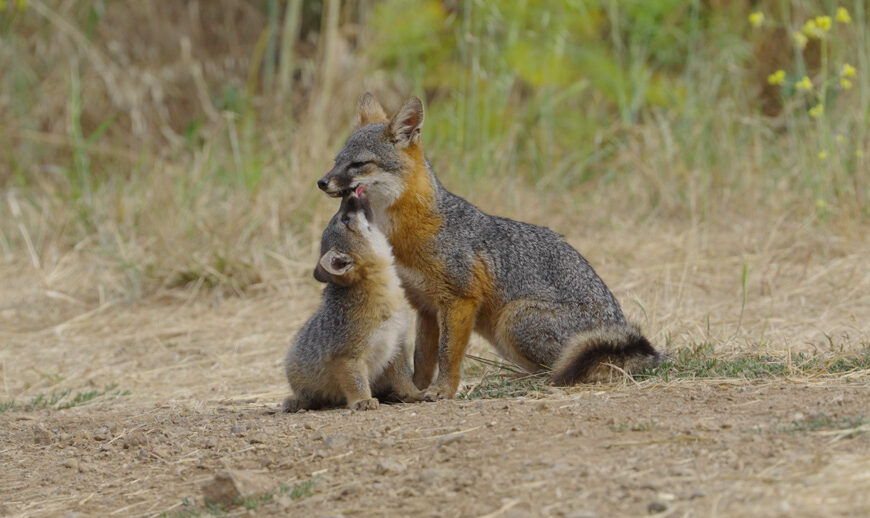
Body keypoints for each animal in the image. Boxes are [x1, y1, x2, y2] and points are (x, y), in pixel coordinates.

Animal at [282, 187, 428, 412]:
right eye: (345, 219)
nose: (348, 193)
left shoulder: (395, 345)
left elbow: (404, 378)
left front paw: (414, 394)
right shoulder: (345, 355)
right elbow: (356, 382)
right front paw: (362, 400)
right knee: (309, 398)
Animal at [316, 93, 660, 399]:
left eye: (358, 164)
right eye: (335, 161)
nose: (321, 182)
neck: (406, 233)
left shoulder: (459, 298)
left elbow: (448, 354)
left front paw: (443, 390)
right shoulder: (425, 306)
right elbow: (423, 359)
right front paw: (414, 390)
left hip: (513, 320)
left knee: (561, 369)